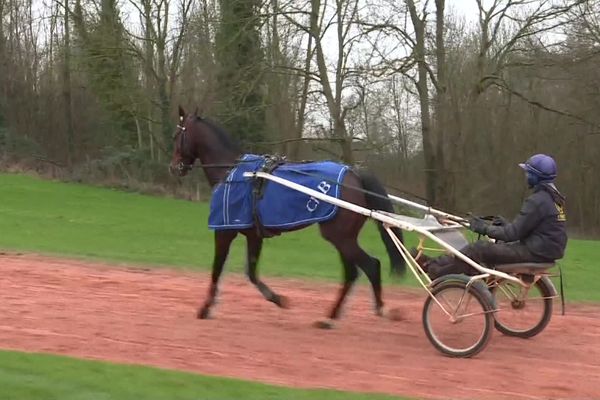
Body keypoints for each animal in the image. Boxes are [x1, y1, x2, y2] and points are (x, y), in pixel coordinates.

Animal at [169, 107, 404, 328]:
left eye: (176, 135)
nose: (173, 167)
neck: (232, 172)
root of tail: (354, 174)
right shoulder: (254, 235)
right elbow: (251, 272)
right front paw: (278, 299)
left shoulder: (224, 231)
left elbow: (217, 270)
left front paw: (205, 308)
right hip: (343, 238)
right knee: (352, 273)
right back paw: (330, 318)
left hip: (340, 237)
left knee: (370, 266)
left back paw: (380, 309)